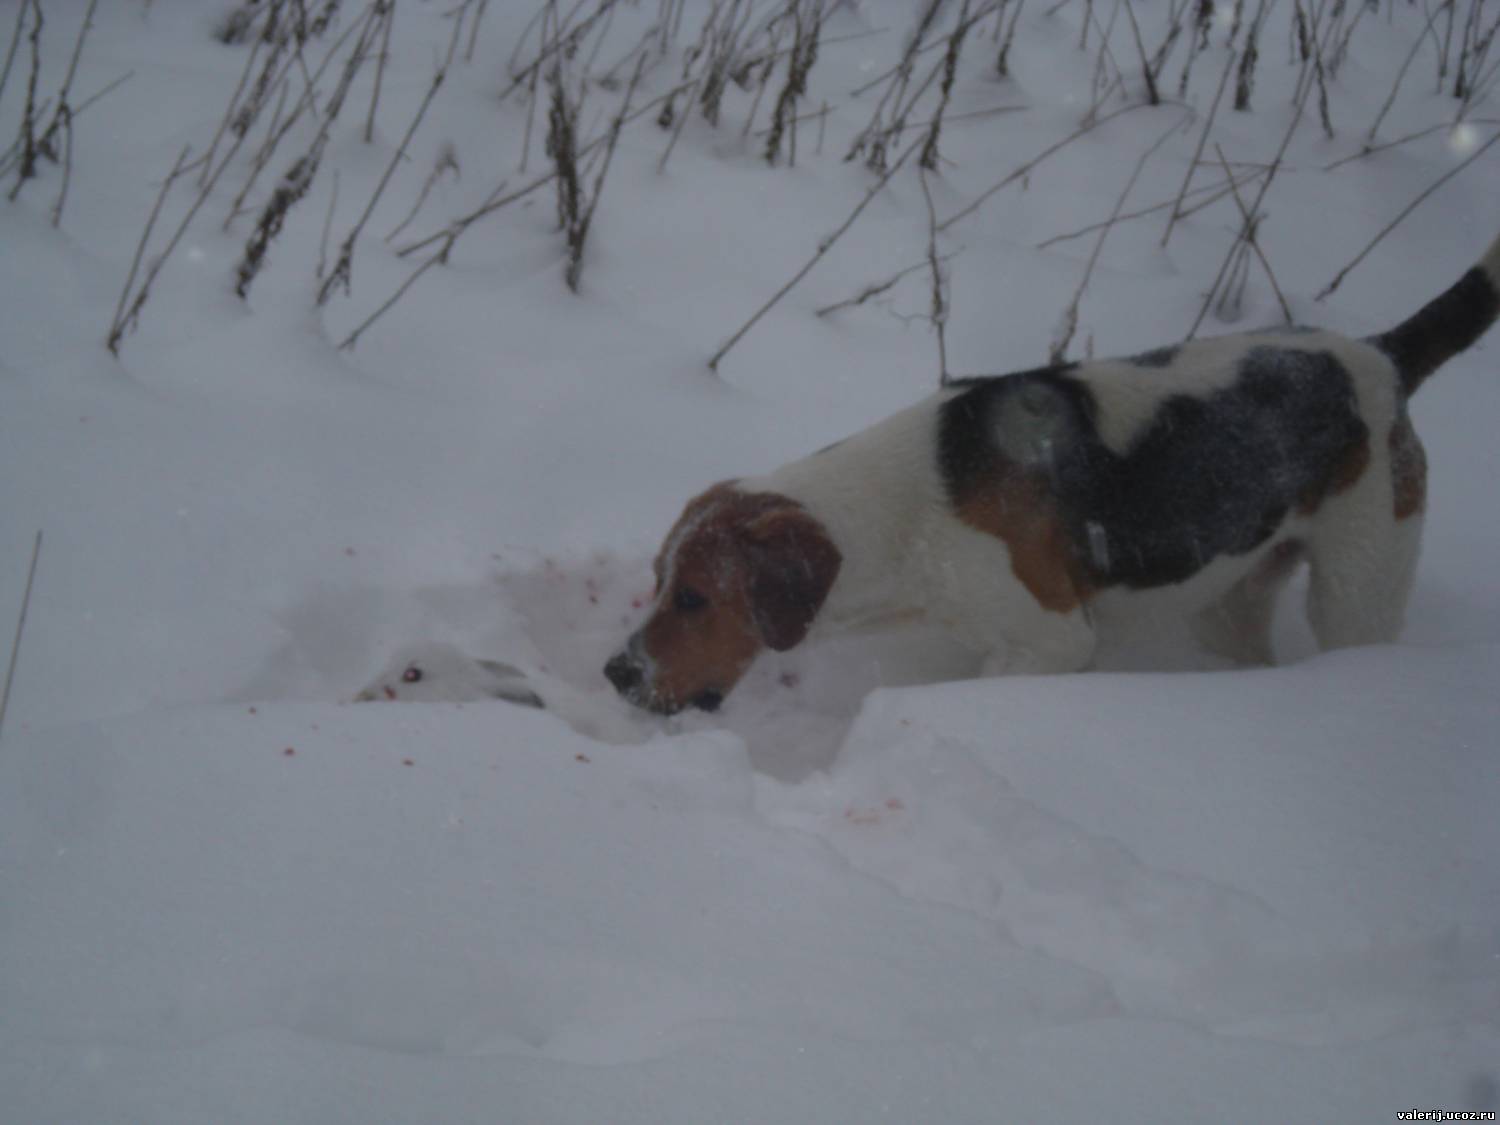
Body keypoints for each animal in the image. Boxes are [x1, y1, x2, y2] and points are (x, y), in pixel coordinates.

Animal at [606, 233, 1500, 715]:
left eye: (696, 598)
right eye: (656, 583)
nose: (617, 673)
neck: (903, 519)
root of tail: (1382, 353)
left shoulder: (1052, 640)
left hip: (1359, 585)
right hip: (1235, 594)